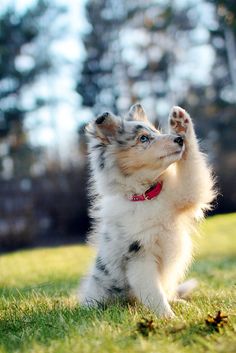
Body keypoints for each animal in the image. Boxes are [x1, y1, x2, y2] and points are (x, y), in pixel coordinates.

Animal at [79, 104, 216, 316]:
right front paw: (168, 317)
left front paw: (180, 123)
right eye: (143, 138)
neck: (147, 195)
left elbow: (191, 166)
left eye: (158, 133)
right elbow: (154, 293)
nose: (178, 139)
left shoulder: (187, 192)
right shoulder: (139, 256)